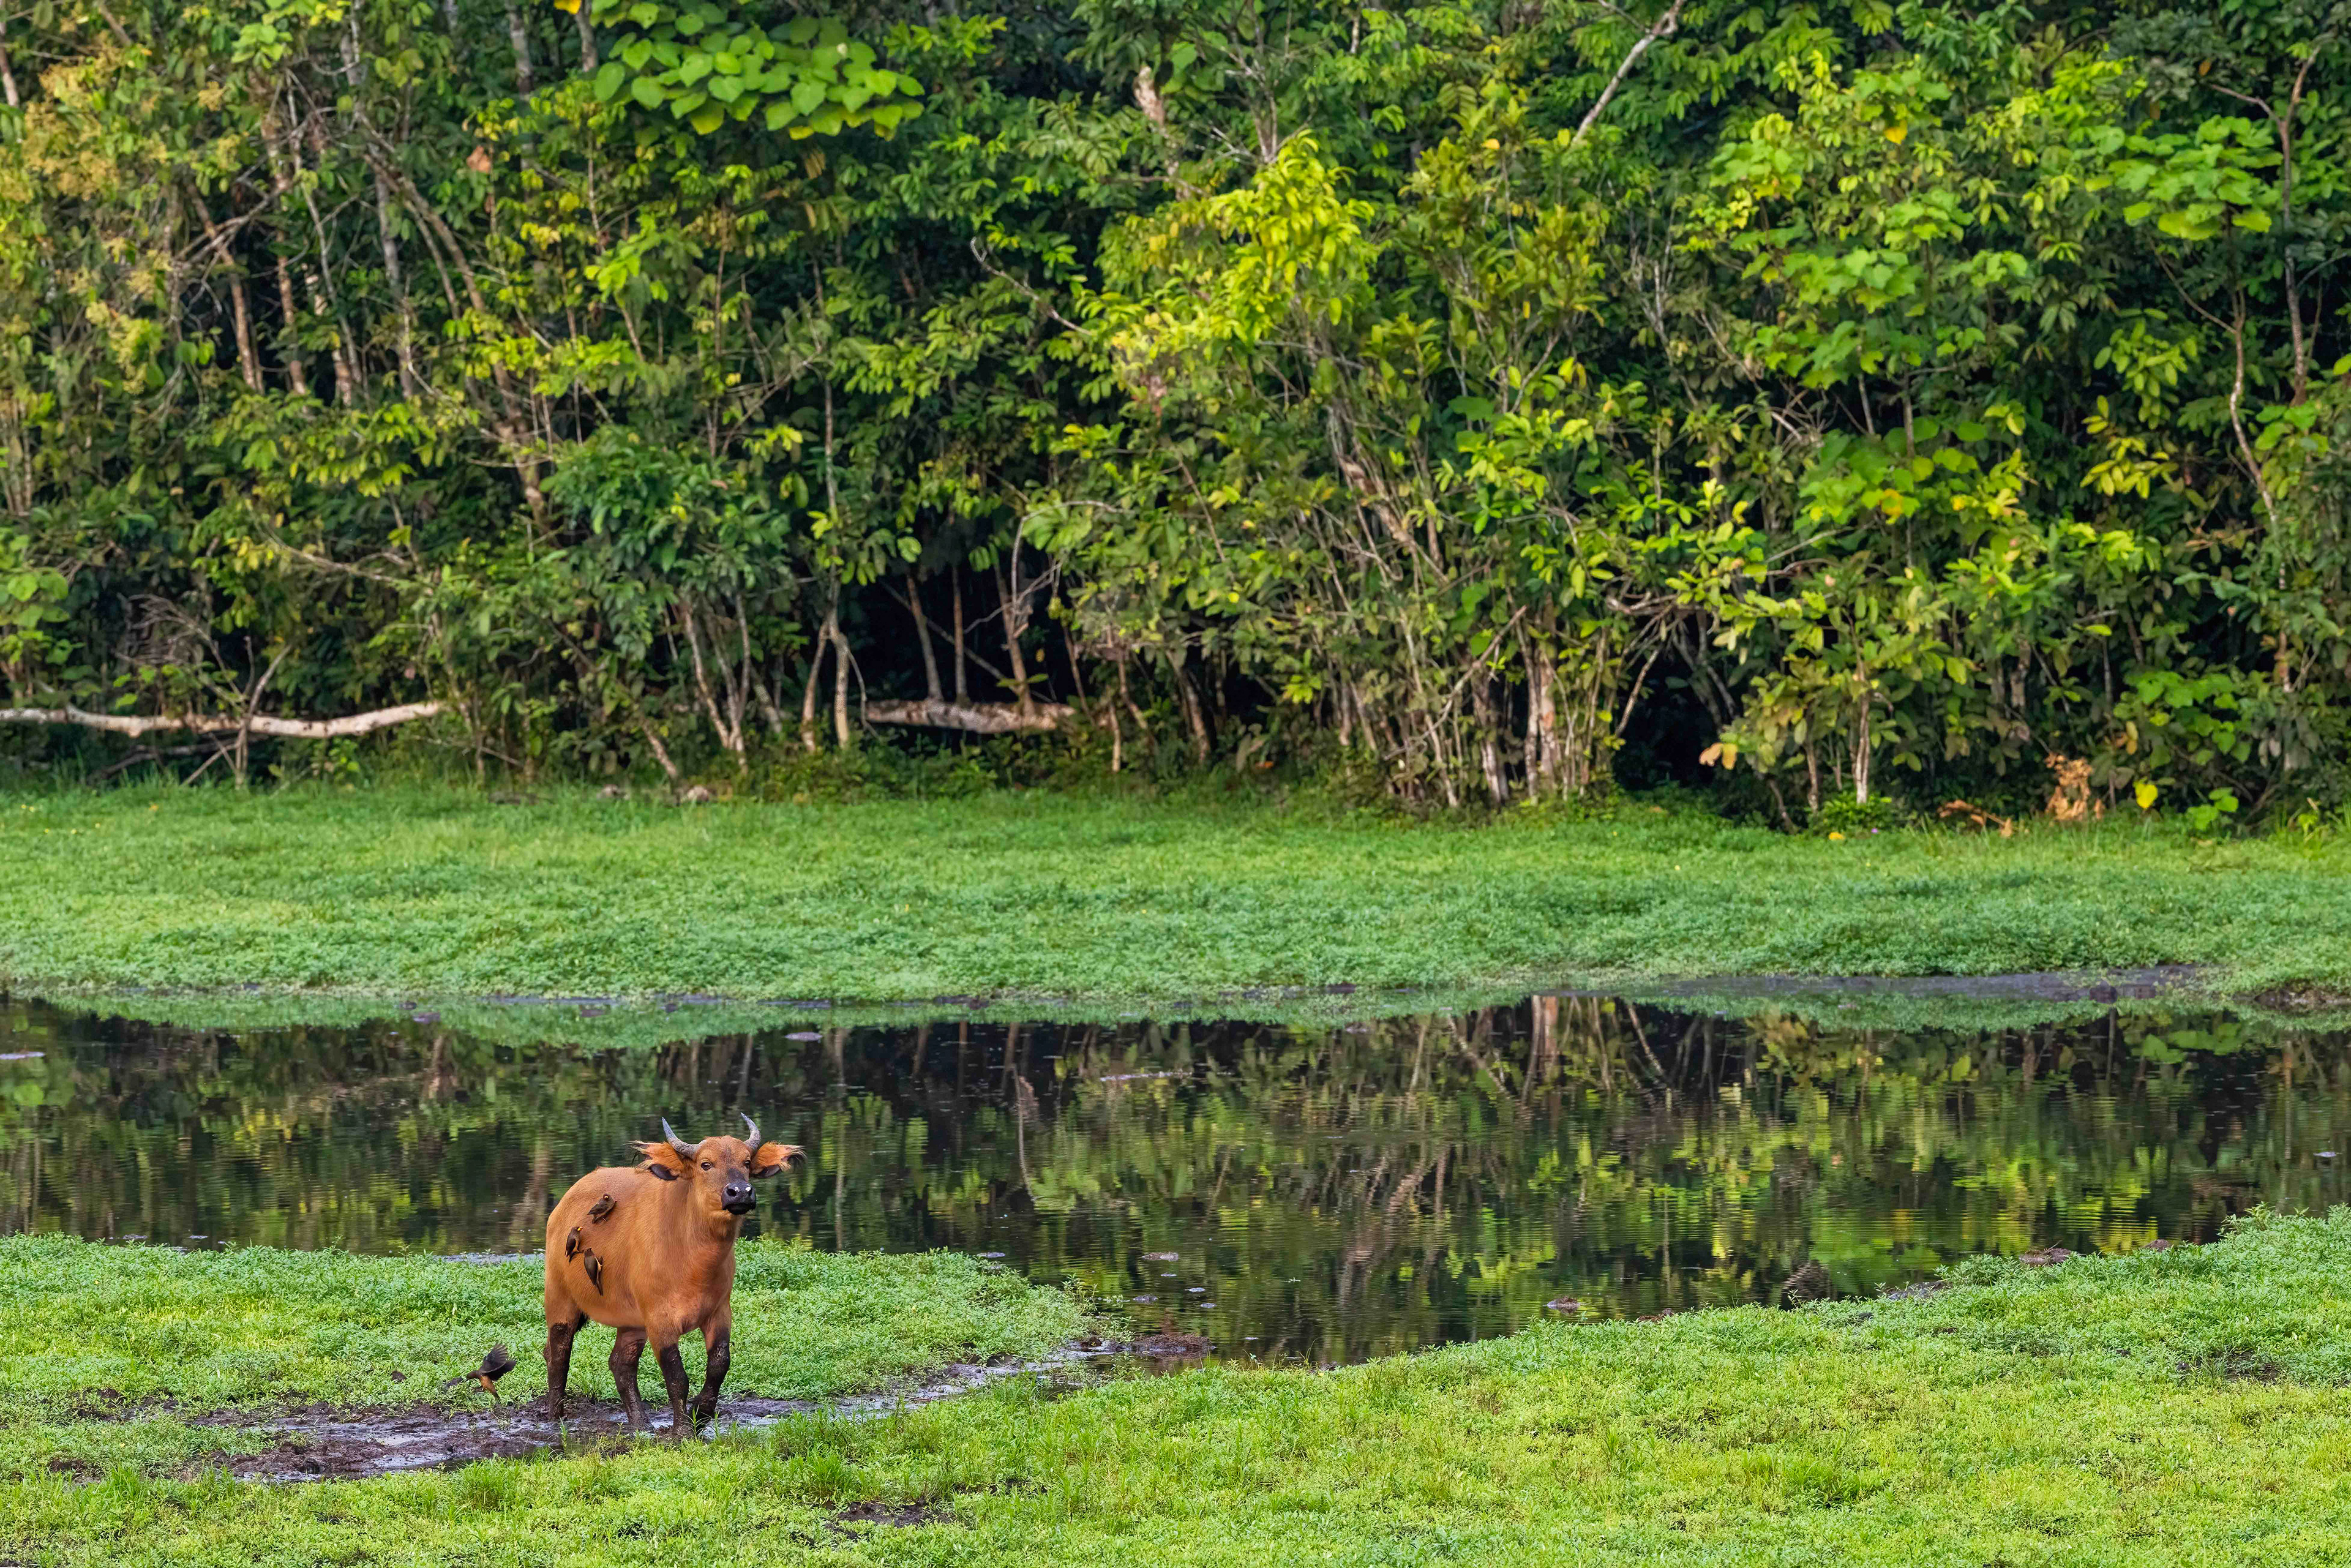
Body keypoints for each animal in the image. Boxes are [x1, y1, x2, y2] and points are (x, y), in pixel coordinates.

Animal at [542, 1113, 801, 1435]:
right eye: (706, 1164)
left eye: (746, 1163)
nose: (740, 1192)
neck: (693, 1264)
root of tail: (562, 1207)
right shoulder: (659, 1321)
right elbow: (677, 1375)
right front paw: (682, 1431)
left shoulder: (719, 1312)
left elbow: (720, 1364)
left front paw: (701, 1413)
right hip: (559, 1296)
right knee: (558, 1353)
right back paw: (555, 1418)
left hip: (632, 1323)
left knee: (621, 1363)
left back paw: (641, 1424)